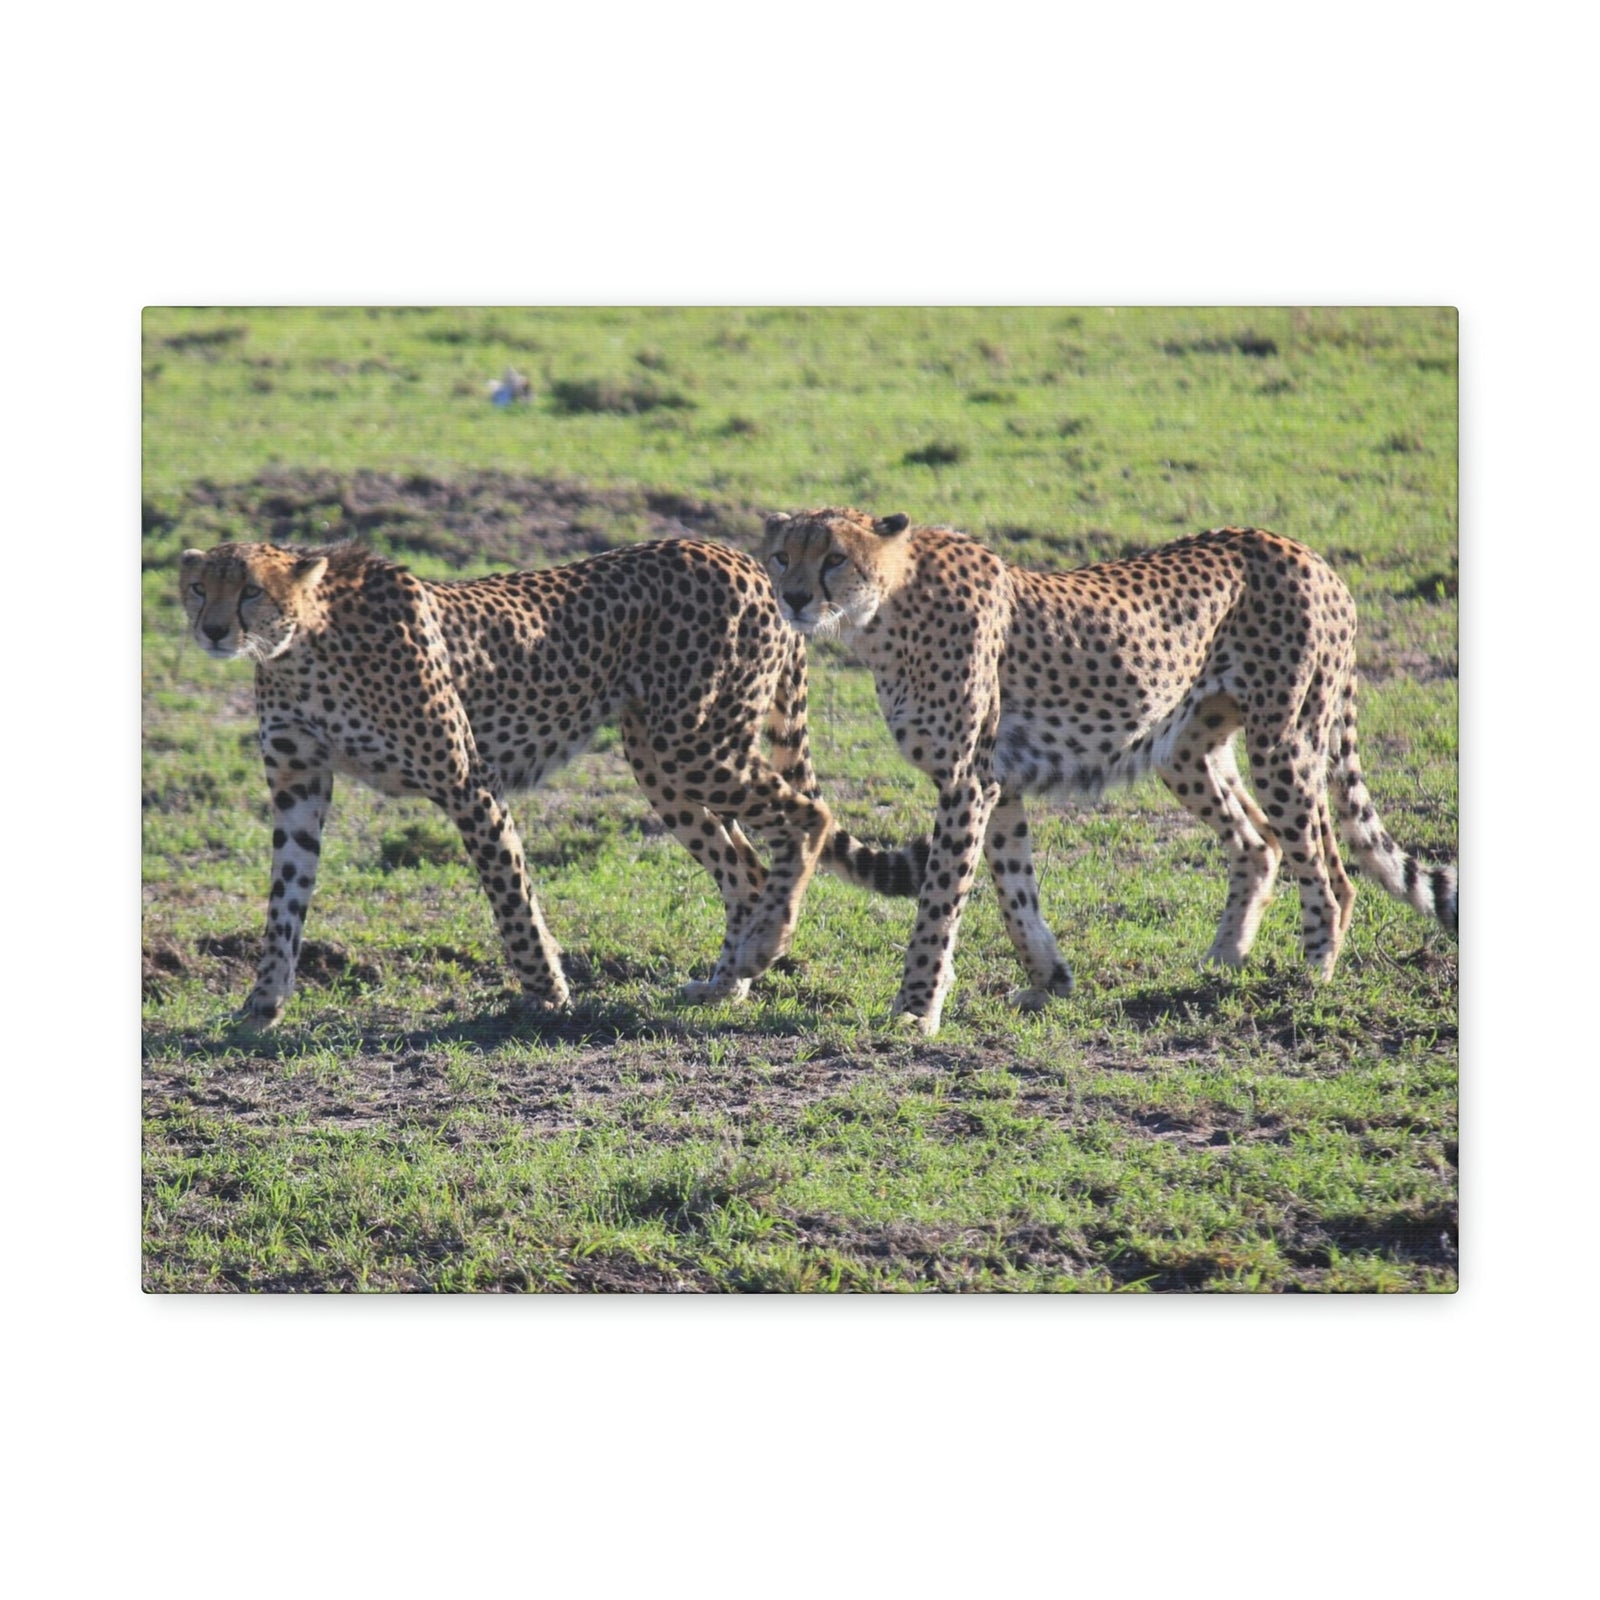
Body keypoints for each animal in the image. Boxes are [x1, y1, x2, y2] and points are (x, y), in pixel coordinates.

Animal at [178, 537, 926, 1027]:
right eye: (198, 588)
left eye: (250, 590)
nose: (212, 630)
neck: (299, 646)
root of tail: (743, 557)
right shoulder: (298, 787)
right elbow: (285, 902)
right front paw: (262, 1004)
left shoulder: (467, 781)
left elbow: (510, 893)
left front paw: (547, 994)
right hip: (661, 758)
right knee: (744, 865)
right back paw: (726, 983)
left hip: (691, 744)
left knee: (806, 817)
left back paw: (765, 947)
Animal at [762, 507, 1458, 1037]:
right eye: (780, 556)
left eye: (834, 558)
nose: (793, 598)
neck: (883, 612)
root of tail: (1309, 554)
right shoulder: (998, 782)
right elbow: (1015, 890)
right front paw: (1048, 981)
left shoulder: (967, 782)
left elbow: (940, 900)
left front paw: (916, 1007)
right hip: (1183, 747)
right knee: (1258, 841)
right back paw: (1223, 961)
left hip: (1285, 741)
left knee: (1329, 869)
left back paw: (1311, 977)